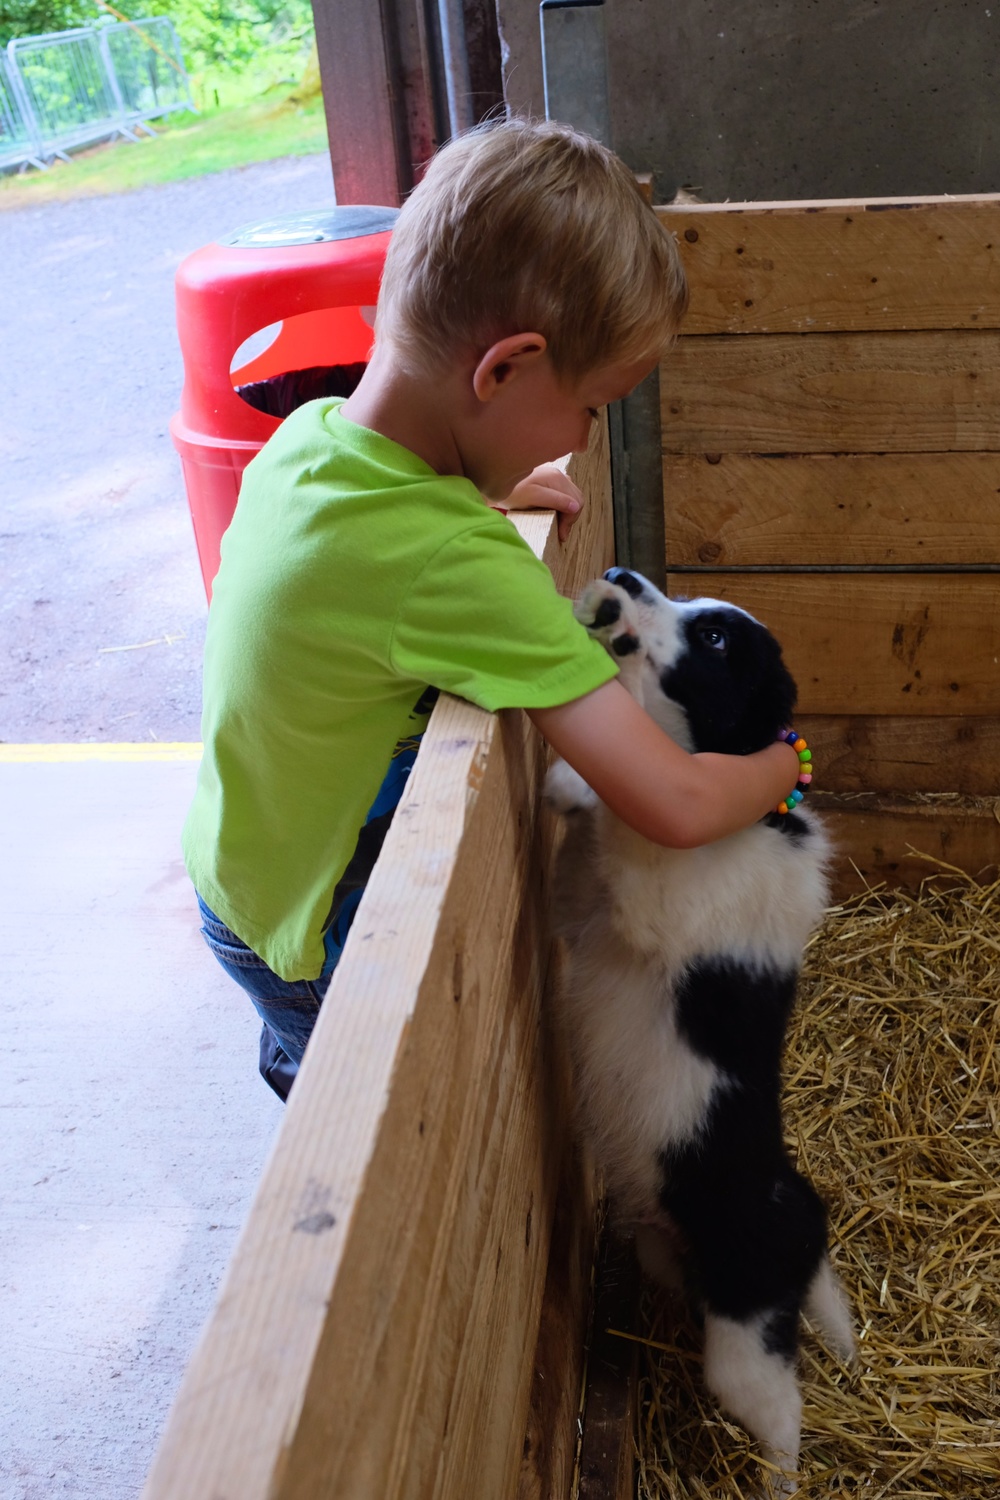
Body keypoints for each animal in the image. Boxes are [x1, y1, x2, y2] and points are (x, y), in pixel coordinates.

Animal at [548, 567, 851, 1494]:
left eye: (715, 640)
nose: (621, 576)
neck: (756, 816)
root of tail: (802, 1213)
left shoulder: (665, 897)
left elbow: (638, 815)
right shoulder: (589, 910)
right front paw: (568, 784)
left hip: (742, 1342)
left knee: (783, 1415)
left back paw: (779, 1480)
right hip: (664, 1253)